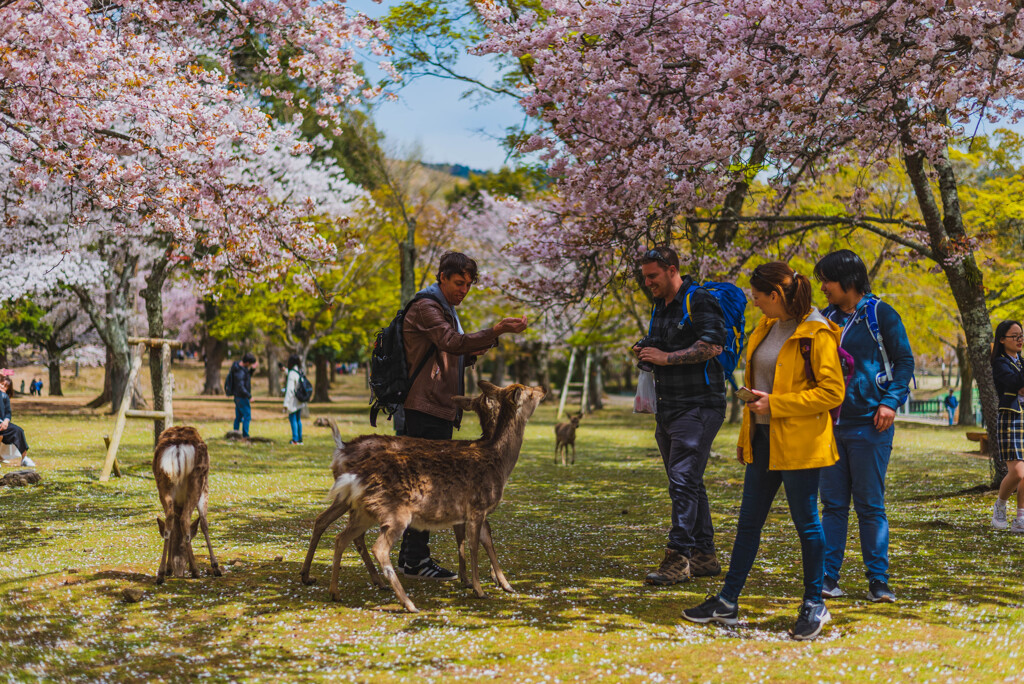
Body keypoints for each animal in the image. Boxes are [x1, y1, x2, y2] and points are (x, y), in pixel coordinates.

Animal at [152, 423, 221, 581]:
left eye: (181, 548)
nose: (179, 570)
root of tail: (177, 446)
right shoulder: (206, 488)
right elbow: (204, 523)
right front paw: (215, 566)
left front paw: (168, 568)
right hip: (198, 480)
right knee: (185, 519)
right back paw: (196, 571)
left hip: (162, 482)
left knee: (170, 519)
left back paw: (160, 573)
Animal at [296, 382, 544, 610]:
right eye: (529, 392)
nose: (542, 389)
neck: (494, 456)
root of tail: (341, 450)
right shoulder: (476, 507)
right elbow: (474, 545)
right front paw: (478, 587)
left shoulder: (469, 512)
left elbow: (483, 541)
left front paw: (503, 583)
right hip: (391, 513)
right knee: (373, 545)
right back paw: (405, 601)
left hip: (355, 505)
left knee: (332, 528)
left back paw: (325, 584)